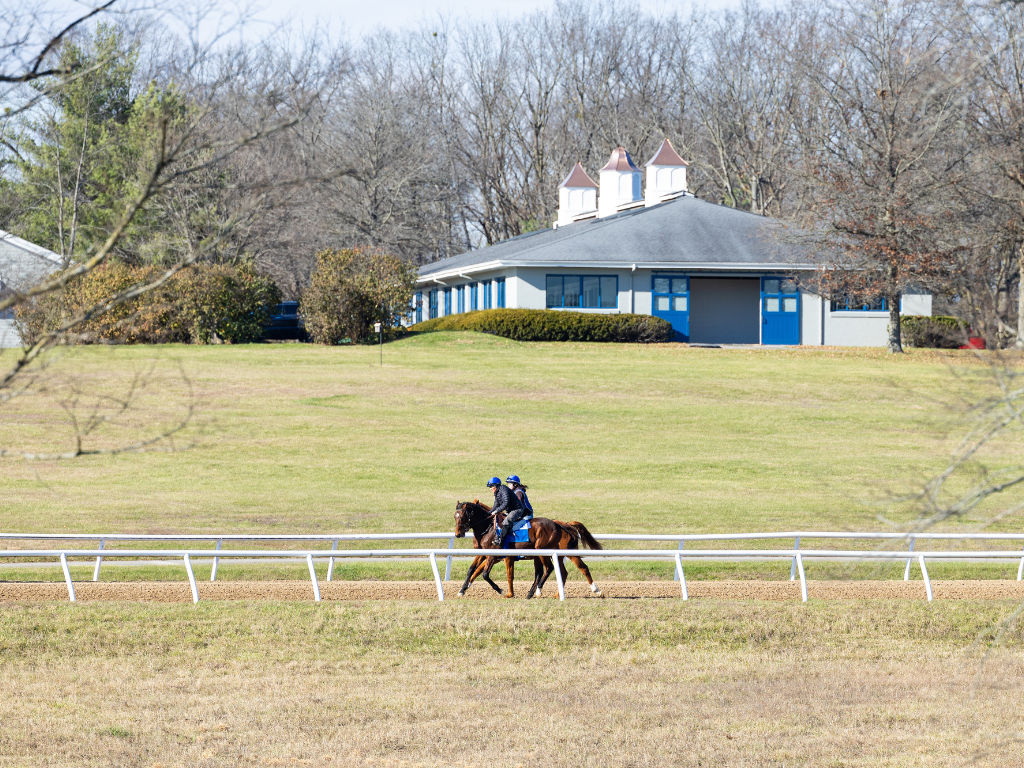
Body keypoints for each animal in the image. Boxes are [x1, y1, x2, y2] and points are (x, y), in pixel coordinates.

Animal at [454, 499, 602, 602]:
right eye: (454, 516)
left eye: (461, 516)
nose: (458, 534)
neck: (489, 527)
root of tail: (561, 524)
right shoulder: (485, 554)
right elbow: (473, 570)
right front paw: (462, 589)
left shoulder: (497, 555)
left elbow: (490, 574)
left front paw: (504, 592)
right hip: (555, 554)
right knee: (560, 572)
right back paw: (552, 594)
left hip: (548, 550)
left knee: (570, 568)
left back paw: (596, 590)